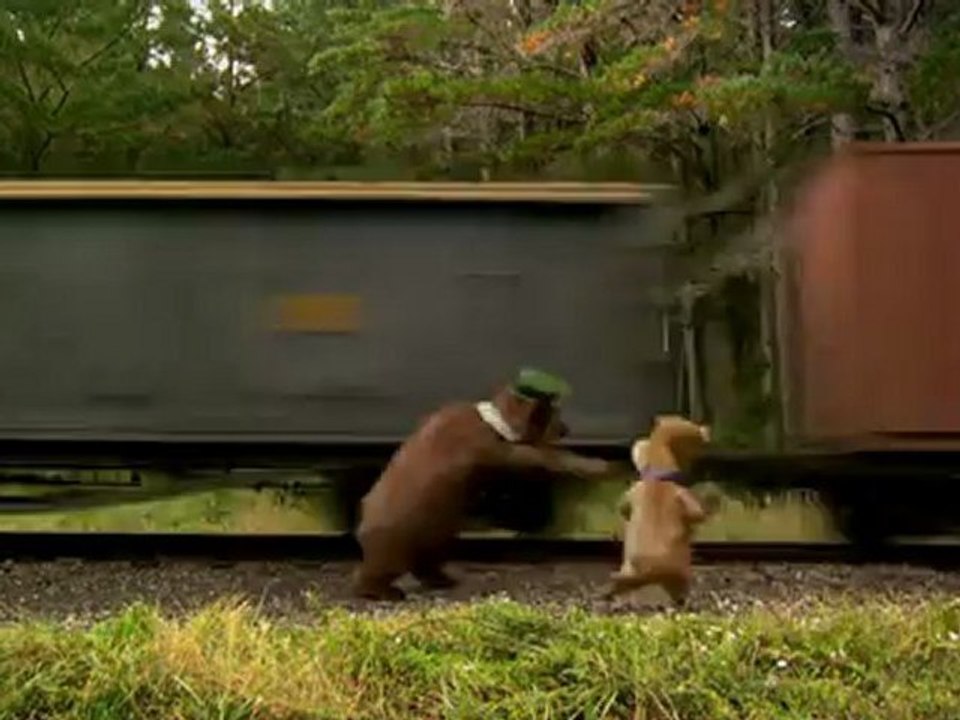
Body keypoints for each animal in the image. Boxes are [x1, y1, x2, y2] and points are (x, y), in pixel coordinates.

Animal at [352, 368, 618, 601]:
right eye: (555, 416)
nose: (567, 429)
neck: (498, 422)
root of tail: (362, 526)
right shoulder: (492, 448)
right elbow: (540, 454)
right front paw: (599, 466)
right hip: (399, 538)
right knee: (381, 569)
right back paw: (385, 592)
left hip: (434, 532)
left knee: (426, 561)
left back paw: (442, 579)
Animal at [605, 415, 716, 607]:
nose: (706, 430)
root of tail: (650, 571)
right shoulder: (686, 500)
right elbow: (698, 515)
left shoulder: (633, 493)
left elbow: (623, 507)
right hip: (681, 575)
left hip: (626, 572)